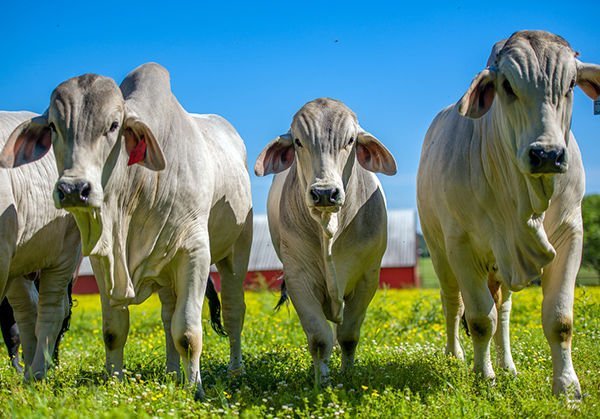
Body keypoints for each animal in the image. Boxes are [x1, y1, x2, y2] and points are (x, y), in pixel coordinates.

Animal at [255, 98, 396, 388]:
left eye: (350, 140)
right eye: (298, 141)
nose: (324, 193)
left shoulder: (367, 279)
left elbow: (348, 336)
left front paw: (348, 376)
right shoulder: (298, 279)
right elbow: (320, 339)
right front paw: (323, 384)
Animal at [418, 31, 600, 398]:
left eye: (571, 84)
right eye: (507, 86)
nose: (547, 154)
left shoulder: (571, 235)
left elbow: (560, 320)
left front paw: (567, 388)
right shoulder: (460, 245)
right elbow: (478, 319)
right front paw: (484, 378)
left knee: (502, 310)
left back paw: (507, 365)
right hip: (439, 251)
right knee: (452, 302)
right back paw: (455, 356)